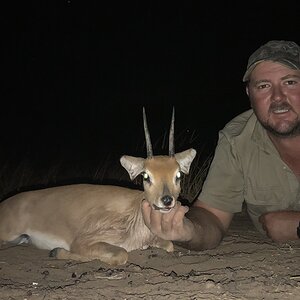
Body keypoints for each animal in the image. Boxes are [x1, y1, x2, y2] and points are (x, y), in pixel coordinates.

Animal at [0, 108, 197, 264]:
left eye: (178, 175)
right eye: (146, 176)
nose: (167, 200)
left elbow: (169, 245)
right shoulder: (82, 241)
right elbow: (121, 254)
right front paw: (56, 252)